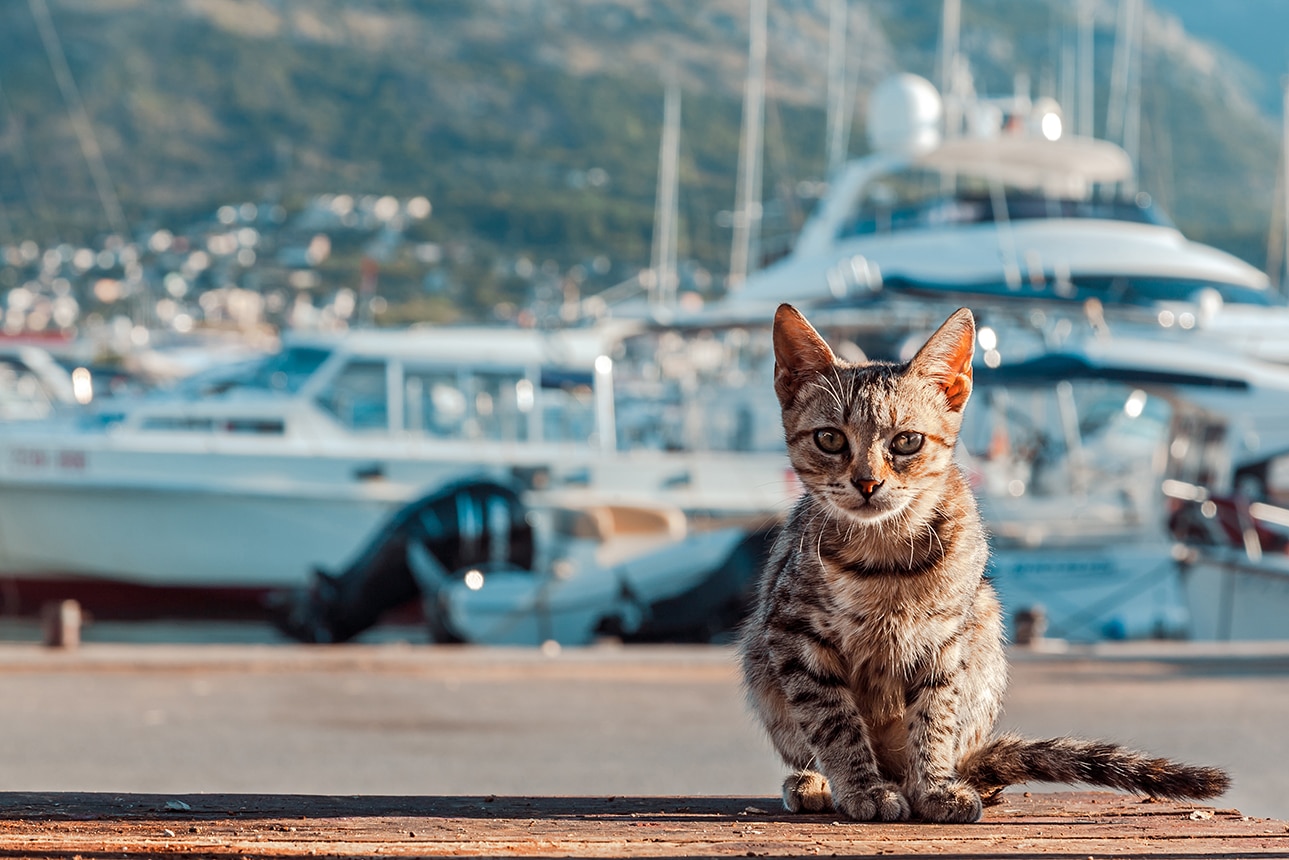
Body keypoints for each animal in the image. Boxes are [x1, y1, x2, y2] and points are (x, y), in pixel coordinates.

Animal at [737, 302, 1227, 820]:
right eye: (830, 439)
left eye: (906, 441)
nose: (867, 482)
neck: (884, 554)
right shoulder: (792, 633)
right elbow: (833, 720)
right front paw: (863, 787)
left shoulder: (946, 637)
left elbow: (935, 716)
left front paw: (933, 785)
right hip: (759, 659)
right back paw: (817, 780)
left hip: (987, 622)